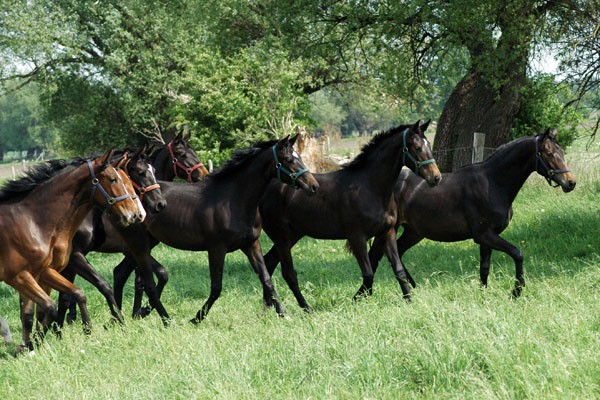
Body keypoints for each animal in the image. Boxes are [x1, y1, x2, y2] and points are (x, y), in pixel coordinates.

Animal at [0, 150, 144, 350]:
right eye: (113, 179)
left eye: (128, 179)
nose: (134, 214)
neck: (31, 220)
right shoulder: (19, 276)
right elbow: (49, 306)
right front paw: (34, 343)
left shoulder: (42, 272)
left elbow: (70, 296)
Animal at [111, 136, 318, 324]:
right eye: (289, 159)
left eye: (298, 156)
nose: (313, 185)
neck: (233, 200)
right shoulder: (216, 249)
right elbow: (216, 287)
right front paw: (197, 318)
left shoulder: (251, 244)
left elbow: (267, 279)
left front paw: (284, 313)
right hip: (138, 243)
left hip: (145, 243)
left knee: (121, 272)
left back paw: (122, 317)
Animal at [258, 119, 440, 312]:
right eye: (417, 147)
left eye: (428, 144)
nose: (436, 177)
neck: (370, 187)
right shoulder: (357, 237)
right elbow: (368, 274)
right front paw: (356, 300)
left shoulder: (387, 232)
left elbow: (398, 269)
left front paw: (409, 301)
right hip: (281, 236)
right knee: (285, 272)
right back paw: (296, 308)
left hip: (292, 235)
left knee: (269, 263)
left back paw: (267, 308)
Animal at [366, 128, 576, 296]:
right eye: (548, 153)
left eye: (561, 151)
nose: (570, 182)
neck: (493, 182)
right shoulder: (484, 235)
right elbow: (517, 254)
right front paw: (516, 291)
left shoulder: (488, 237)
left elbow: (484, 268)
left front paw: (483, 295)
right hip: (392, 230)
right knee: (376, 256)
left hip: (414, 232)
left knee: (396, 252)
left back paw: (412, 287)